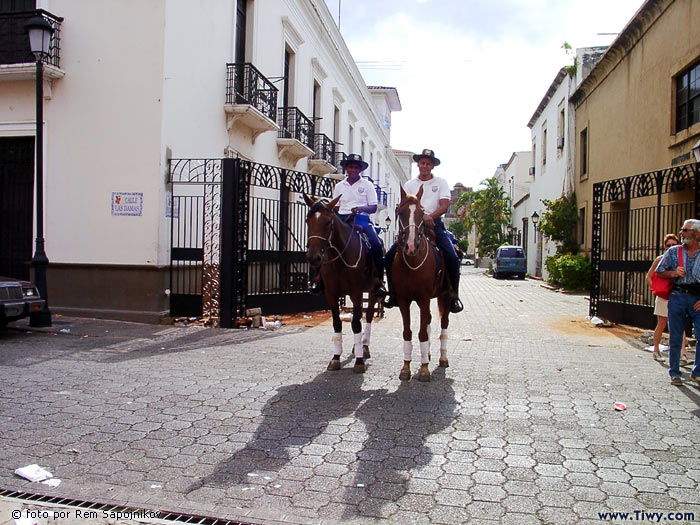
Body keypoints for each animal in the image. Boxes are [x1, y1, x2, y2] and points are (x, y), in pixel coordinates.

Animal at [300, 193, 378, 372]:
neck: (339, 258)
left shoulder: (356, 293)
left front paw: (359, 361)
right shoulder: (331, 294)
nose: (313, 257)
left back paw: (364, 347)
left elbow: (356, 324)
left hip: (371, 291)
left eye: (328, 222)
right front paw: (335, 357)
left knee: (369, 316)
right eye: (307, 220)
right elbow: (337, 323)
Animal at [392, 185, 452, 380]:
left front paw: (425, 369)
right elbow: (408, 332)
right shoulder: (403, 300)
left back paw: (443, 358)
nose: (411, 246)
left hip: (446, 296)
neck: (412, 262)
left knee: (444, 323)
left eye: (422, 212)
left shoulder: (424, 299)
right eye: (400, 212)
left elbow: (423, 333)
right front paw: (406, 367)